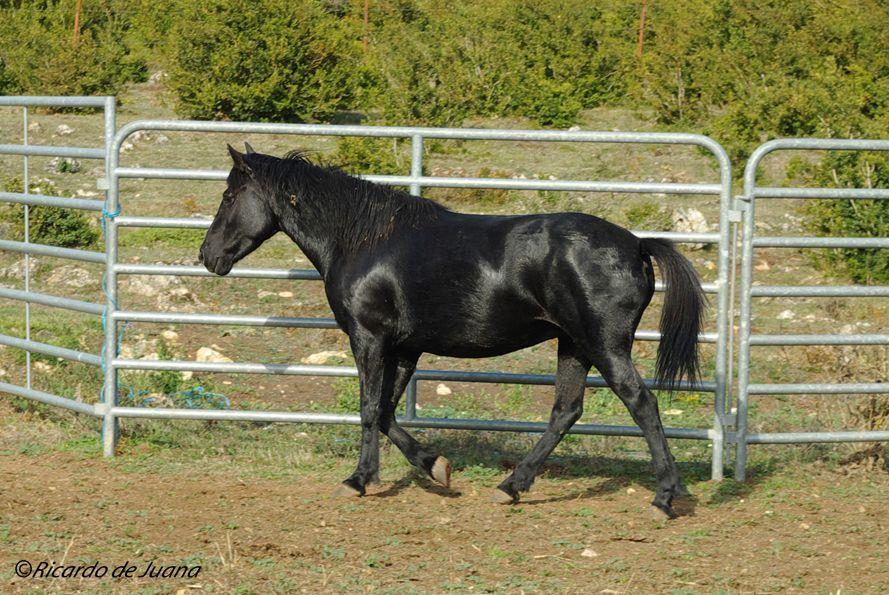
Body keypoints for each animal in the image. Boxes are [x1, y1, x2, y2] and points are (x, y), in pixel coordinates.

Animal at [199, 143, 705, 519]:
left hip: (604, 345)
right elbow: (386, 413)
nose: (208, 256)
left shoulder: (369, 338)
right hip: (574, 345)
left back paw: (664, 498)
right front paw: (437, 468)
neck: (362, 239)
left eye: (227, 197)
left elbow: (368, 409)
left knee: (641, 404)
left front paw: (359, 480)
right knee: (566, 411)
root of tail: (636, 245)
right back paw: (511, 486)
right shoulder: (404, 348)